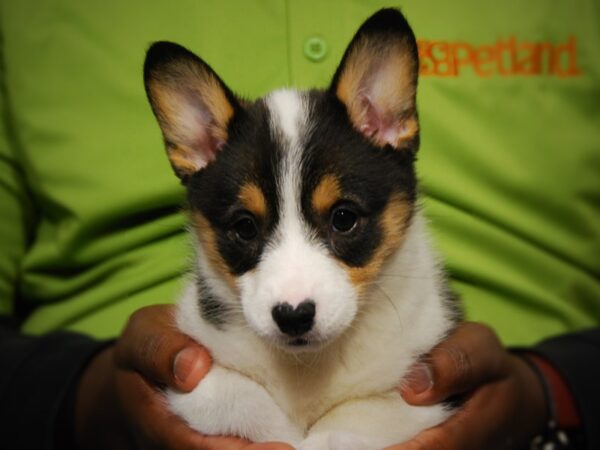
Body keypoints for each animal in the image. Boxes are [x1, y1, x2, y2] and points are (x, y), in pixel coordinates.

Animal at [144, 7, 460, 450]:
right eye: (245, 227)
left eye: (343, 218)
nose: (293, 317)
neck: (306, 366)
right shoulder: (196, 374)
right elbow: (234, 400)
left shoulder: (416, 397)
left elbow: (351, 425)